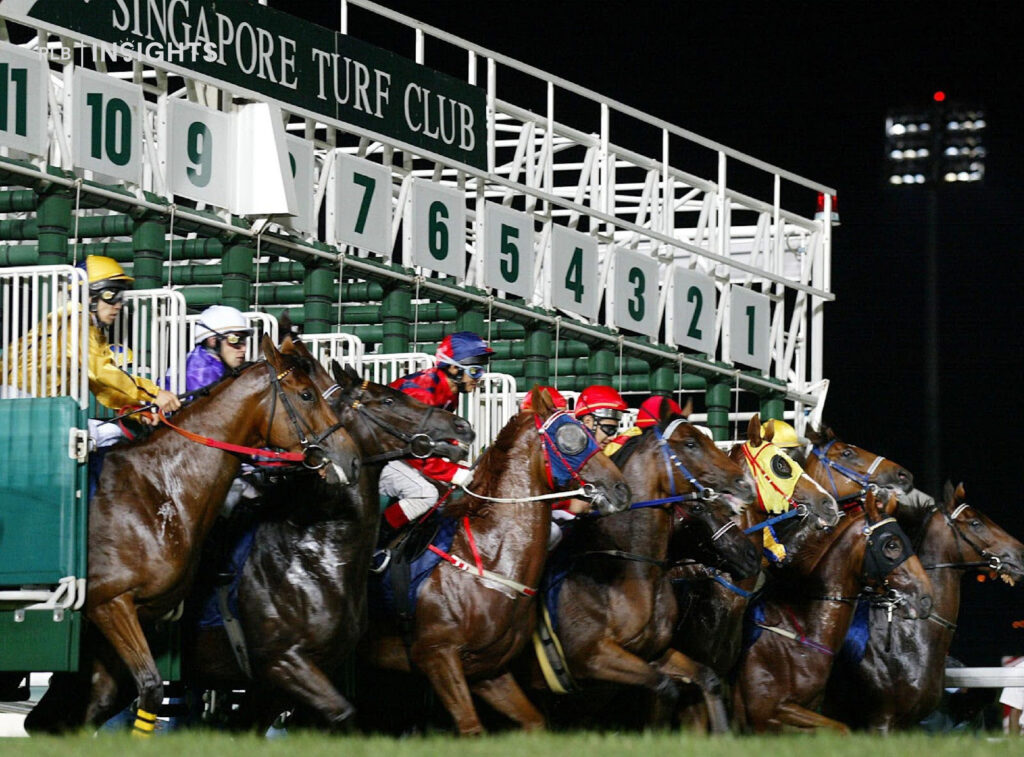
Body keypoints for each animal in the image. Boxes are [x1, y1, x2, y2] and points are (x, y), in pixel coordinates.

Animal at [27, 335, 360, 733]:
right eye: (307, 394)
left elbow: (102, 702)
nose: (351, 457)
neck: (161, 488)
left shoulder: (132, 615)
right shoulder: (109, 602)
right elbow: (151, 687)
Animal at [360, 387, 630, 737]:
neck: (490, 560)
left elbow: (533, 721)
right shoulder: (436, 655)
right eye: (573, 437)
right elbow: (471, 726)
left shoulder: (485, 669)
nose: (621, 489)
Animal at [524, 407, 757, 733]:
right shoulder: (592, 656)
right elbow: (664, 688)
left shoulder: (654, 652)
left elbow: (707, 677)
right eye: (691, 444)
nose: (751, 555)